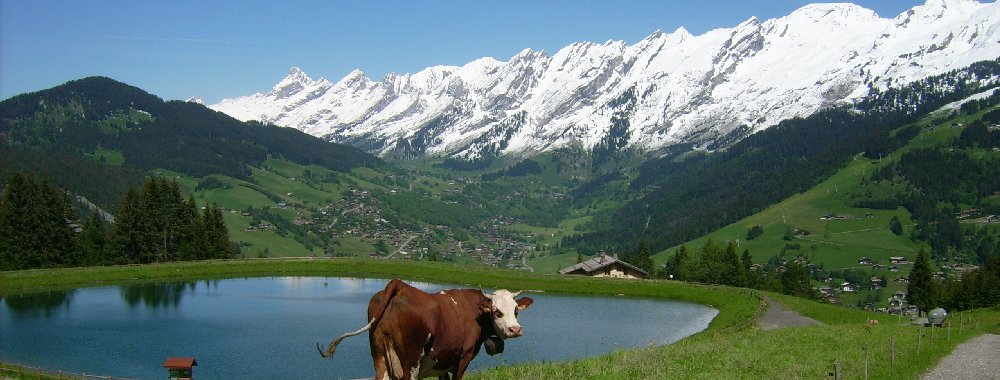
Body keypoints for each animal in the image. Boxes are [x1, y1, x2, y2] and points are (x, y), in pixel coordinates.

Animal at [322, 278, 536, 378]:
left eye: (516, 310)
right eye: (497, 311)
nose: (515, 329)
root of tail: (399, 286)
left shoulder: (442, 361)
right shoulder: (464, 356)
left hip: (379, 355)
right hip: (410, 363)